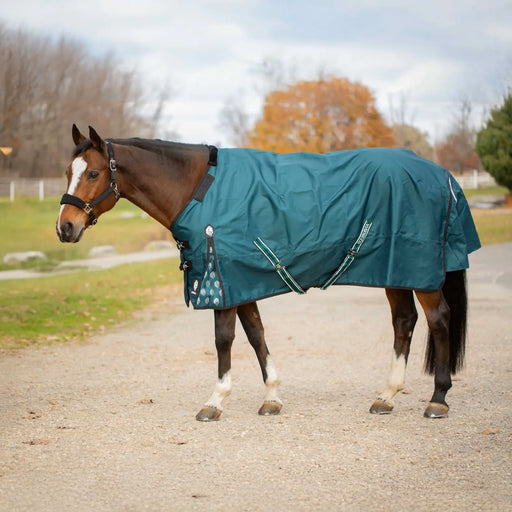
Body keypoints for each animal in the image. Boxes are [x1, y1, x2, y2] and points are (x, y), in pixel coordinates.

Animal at [56, 125, 480, 421]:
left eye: (93, 173)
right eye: (67, 171)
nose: (65, 228)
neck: (201, 189)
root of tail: (443, 176)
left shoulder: (222, 281)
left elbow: (224, 340)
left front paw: (215, 401)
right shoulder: (240, 282)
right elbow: (256, 335)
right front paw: (272, 398)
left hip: (418, 272)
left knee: (439, 320)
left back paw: (438, 400)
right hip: (395, 269)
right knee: (404, 322)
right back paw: (387, 397)